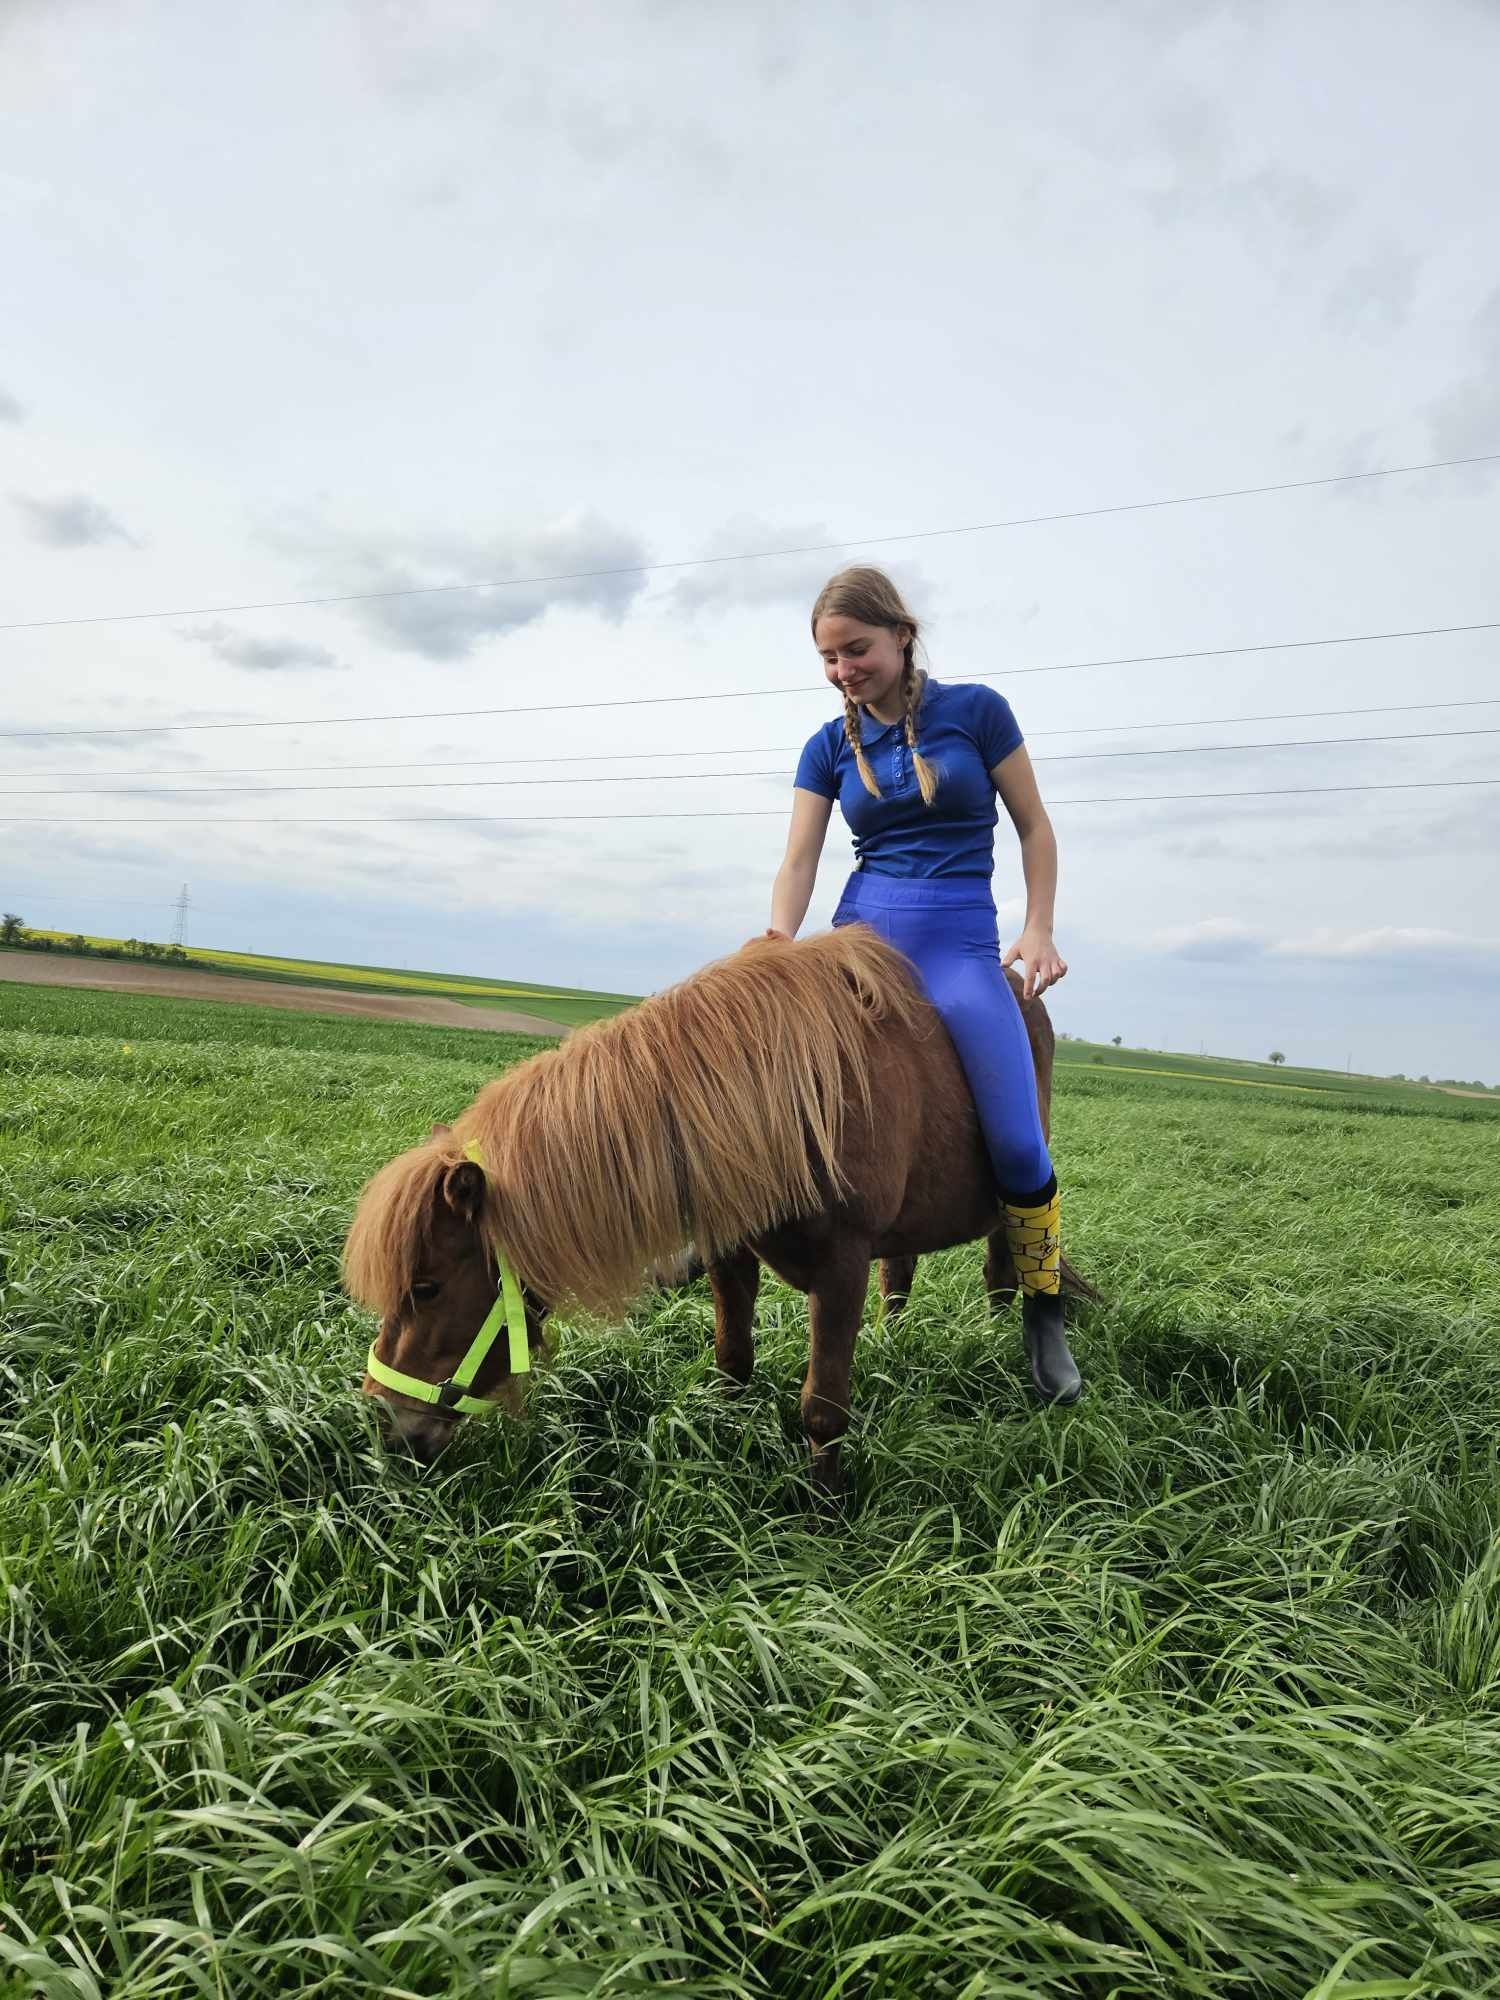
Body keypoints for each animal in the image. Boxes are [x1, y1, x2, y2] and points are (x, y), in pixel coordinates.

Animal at [346, 928, 1088, 1496]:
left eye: (425, 1287)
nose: (386, 1423)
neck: (783, 1100)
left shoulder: (840, 1268)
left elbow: (823, 1407)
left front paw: (824, 1516)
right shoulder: (730, 1253)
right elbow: (732, 1360)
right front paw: (722, 1449)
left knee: (1004, 1267)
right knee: (902, 1275)